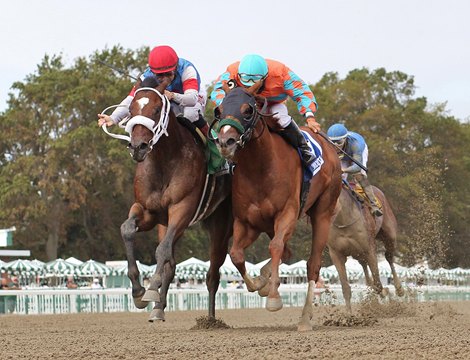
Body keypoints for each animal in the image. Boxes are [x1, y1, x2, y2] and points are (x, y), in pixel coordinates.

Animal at [117, 77, 231, 322]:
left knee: (213, 273)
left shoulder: (182, 209)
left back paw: (210, 320)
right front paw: (138, 292)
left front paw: (151, 289)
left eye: (156, 109)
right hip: (167, 223)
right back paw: (158, 309)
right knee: (171, 262)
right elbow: (127, 230)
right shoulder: (149, 211)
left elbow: (161, 250)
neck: (164, 162)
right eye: (131, 110)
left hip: (220, 221)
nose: (138, 147)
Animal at [213, 84, 342, 332]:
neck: (260, 168)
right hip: (268, 224)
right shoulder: (247, 222)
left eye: (247, 110)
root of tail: (331, 149)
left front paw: (273, 297)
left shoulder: (287, 214)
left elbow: (275, 247)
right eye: (219, 110)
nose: (226, 142)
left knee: (312, 265)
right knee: (287, 252)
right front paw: (259, 284)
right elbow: (236, 254)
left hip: (322, 212)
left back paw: (304, 319)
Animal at [328, 183, 406, 312]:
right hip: (358, 253)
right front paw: (348, 315)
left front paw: (384, 293)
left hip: (389, 235)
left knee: (389, 257)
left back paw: (399, 289)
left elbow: (378, 284)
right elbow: (346, 288)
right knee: (364, 265)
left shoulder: (370, 248)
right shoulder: (336, 253)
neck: (343, 219)